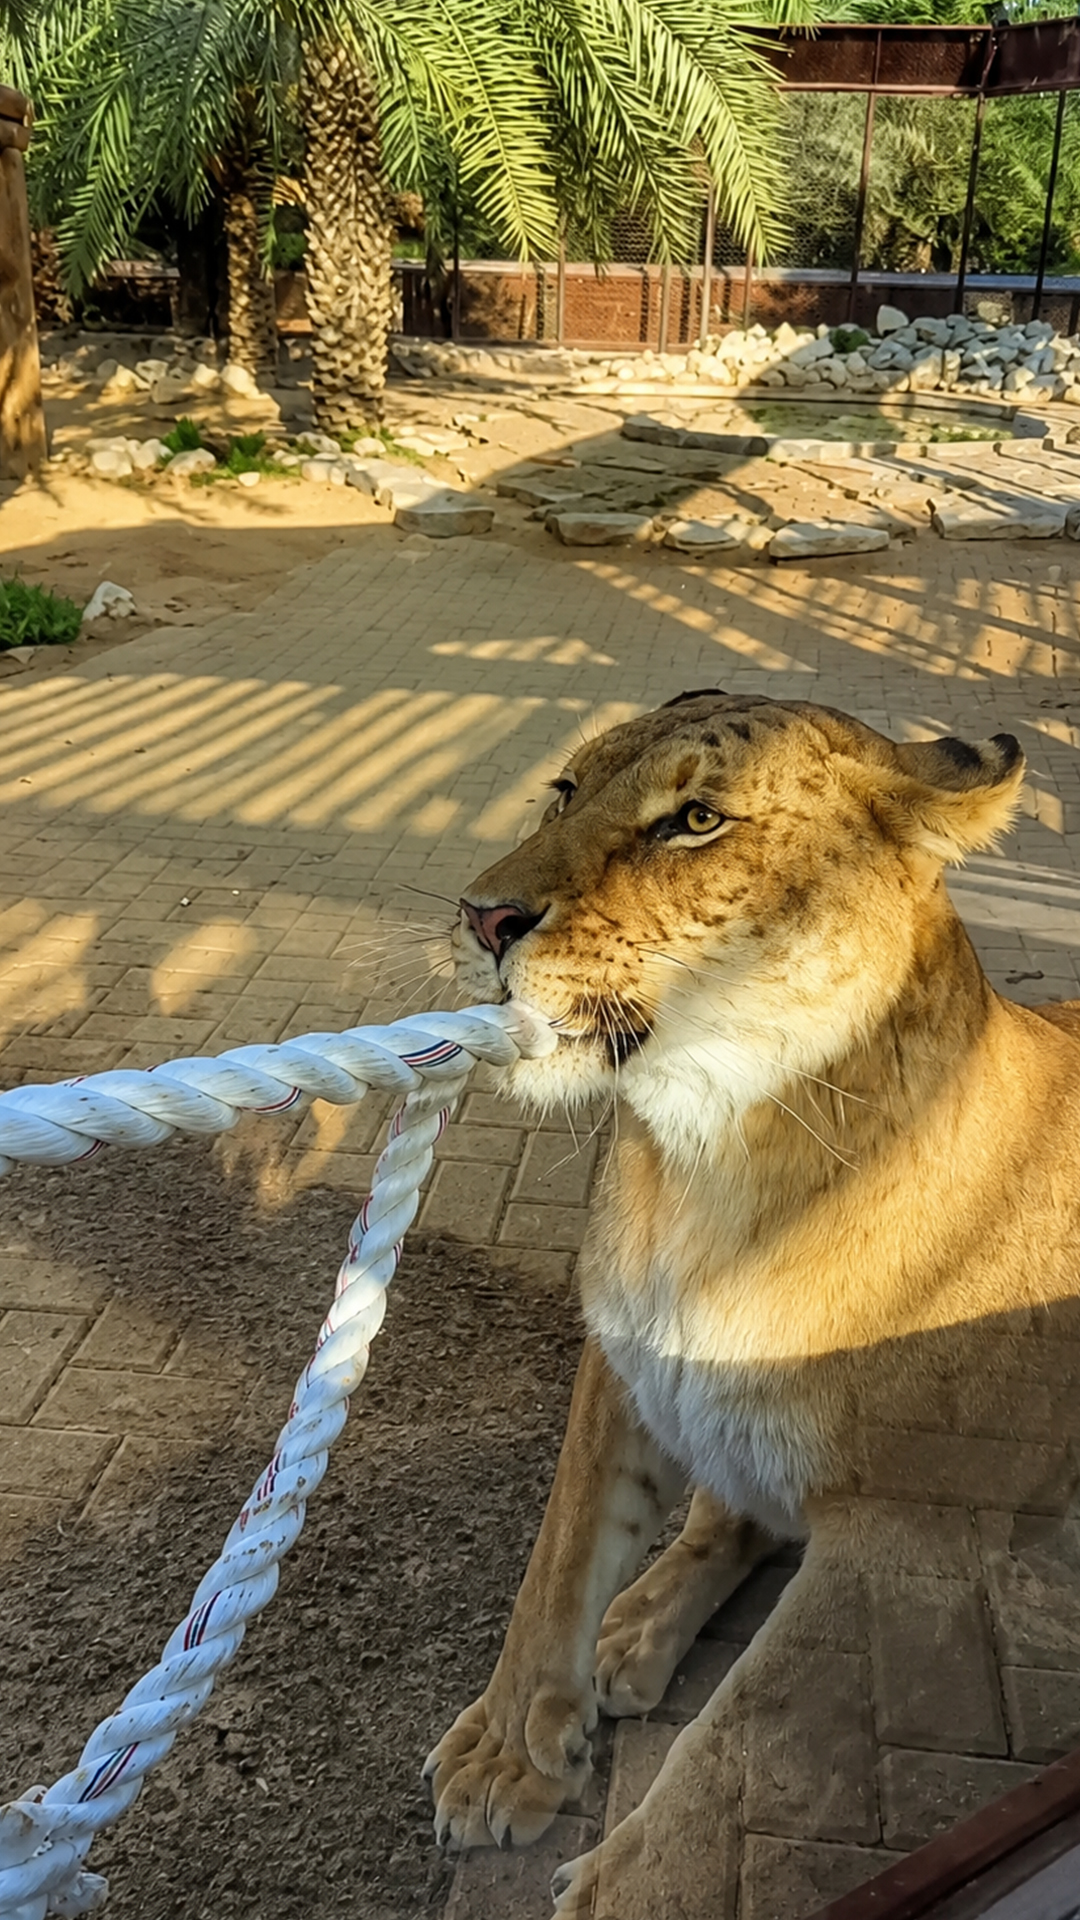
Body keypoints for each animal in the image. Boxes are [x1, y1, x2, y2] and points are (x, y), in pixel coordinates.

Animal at [423, 690, 1080, 1918]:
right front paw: (505, 1750)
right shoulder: (622, 1366)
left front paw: (621, 1890)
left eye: (695, 821)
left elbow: (747, 1744)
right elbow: (559, 1558)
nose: (483, 917)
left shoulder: (916, 1533)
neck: (705, 1170)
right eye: (564, 790)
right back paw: (632, 1633)